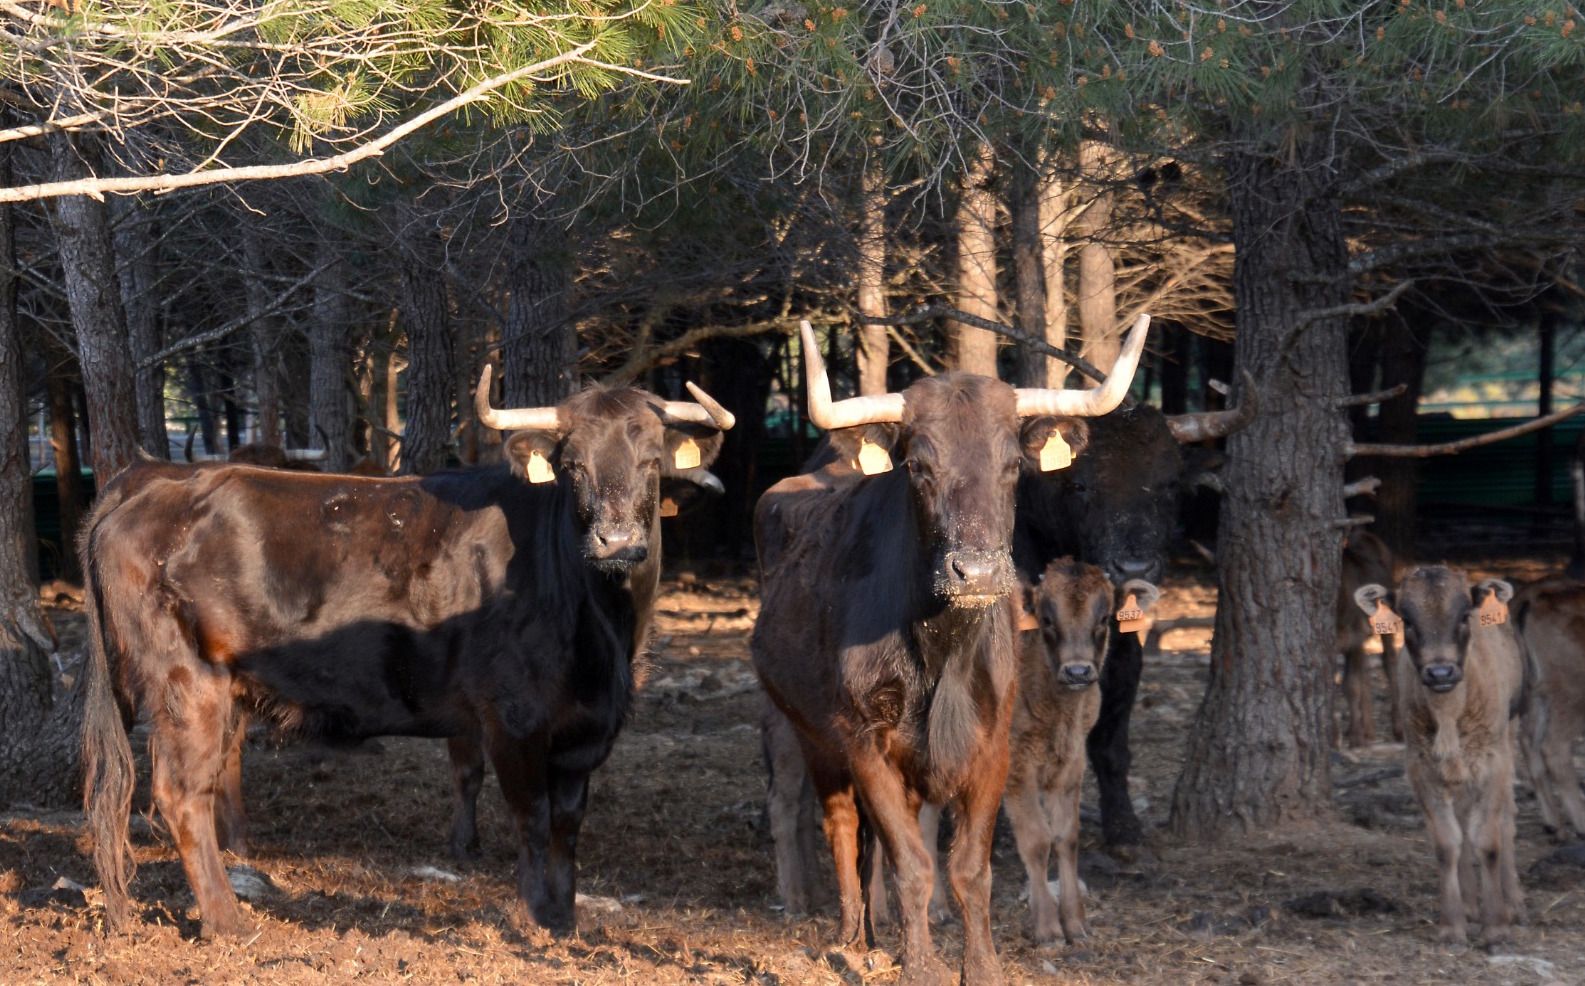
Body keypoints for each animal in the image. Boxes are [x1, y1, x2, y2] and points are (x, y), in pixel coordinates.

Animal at [1350, 570, 1521, 951]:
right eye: (1407, 619)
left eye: (1464, 615)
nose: (1440, 673)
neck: (1449, 716)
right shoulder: (1421, 767)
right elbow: (1447, 843)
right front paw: (1452, 927)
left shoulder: (1494, 762)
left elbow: (1488, 840)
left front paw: (1497, 928)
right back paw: (1471, 905)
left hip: (1509, 741)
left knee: (1505, 821)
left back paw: (1513, 903)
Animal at [1508, 580, 1585, 843]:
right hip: (1569, 696)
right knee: (1553, 747)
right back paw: (1580, 825)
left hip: (1534, 694)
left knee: (1527, 742)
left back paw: (1554, 826)